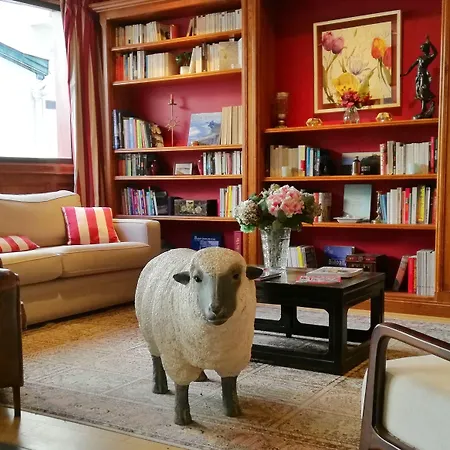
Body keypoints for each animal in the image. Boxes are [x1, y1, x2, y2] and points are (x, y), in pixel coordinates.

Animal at [135, 247, 263, 426]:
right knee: (156, 360)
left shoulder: (232, 359)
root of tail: (166, 252)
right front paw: (182, 418)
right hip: (151, 335)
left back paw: (200, 377)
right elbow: (181, 388)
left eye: (236, 275)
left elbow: (229, 384)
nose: (216, 308)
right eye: (196, 278)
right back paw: (159, 388)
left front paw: (233, 411)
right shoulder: (178, 360)